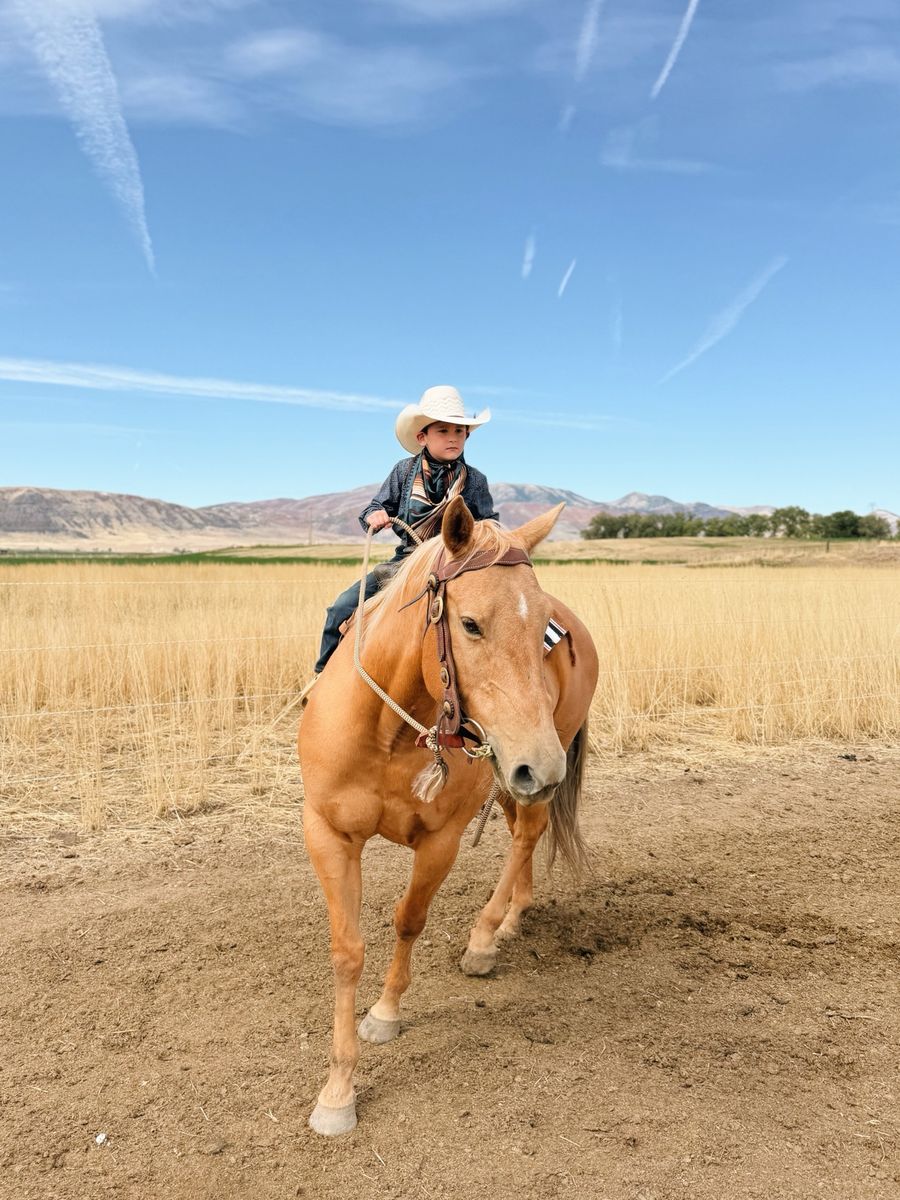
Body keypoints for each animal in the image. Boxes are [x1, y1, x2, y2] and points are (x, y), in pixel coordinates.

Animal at [297, 497, 599, 1136]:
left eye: (541, 628)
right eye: (470, 624)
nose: (545, 765)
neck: (388, 730)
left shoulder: (441, 841)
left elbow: (409, 920)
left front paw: (385, 1014)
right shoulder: (328, 832)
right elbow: (347, 950)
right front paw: (337, 1092)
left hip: (530, 767)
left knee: (528, 834)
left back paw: (486, 938)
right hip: (513, 773)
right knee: (519, 828)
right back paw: (512, 919)